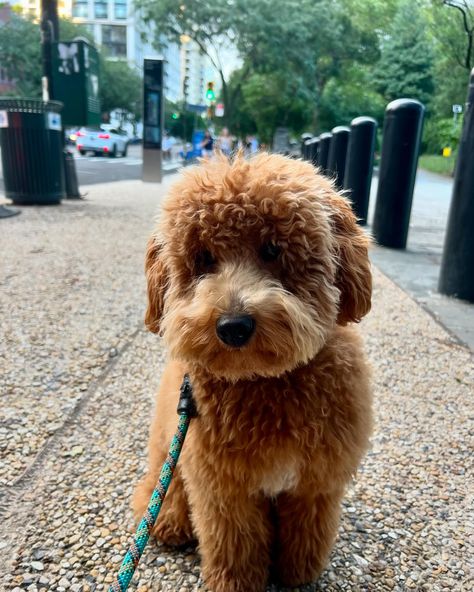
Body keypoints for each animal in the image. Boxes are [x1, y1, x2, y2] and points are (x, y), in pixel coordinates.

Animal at [131, 154, 372, 592]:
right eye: (203, 258)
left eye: (273, 249)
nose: (233, 326)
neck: (264, 381)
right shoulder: (223, 487)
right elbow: (234, 543)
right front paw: (235, 581)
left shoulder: (315, 482)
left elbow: (307, 530)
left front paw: (298, 571)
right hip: (169, 454)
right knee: (159, 491)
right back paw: (169, 523)